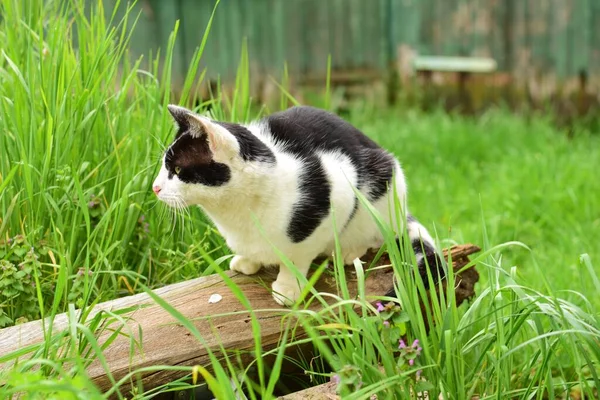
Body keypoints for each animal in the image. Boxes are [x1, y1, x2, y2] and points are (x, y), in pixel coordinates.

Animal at [151, 104, 440, 304]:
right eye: (165, 166)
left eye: (177, 169)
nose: (155, 187)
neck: (235, 211)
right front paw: (247, 260)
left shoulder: (337, 188)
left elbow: (297, 256)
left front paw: (288, 288)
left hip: (384, 181)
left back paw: (349, 250)